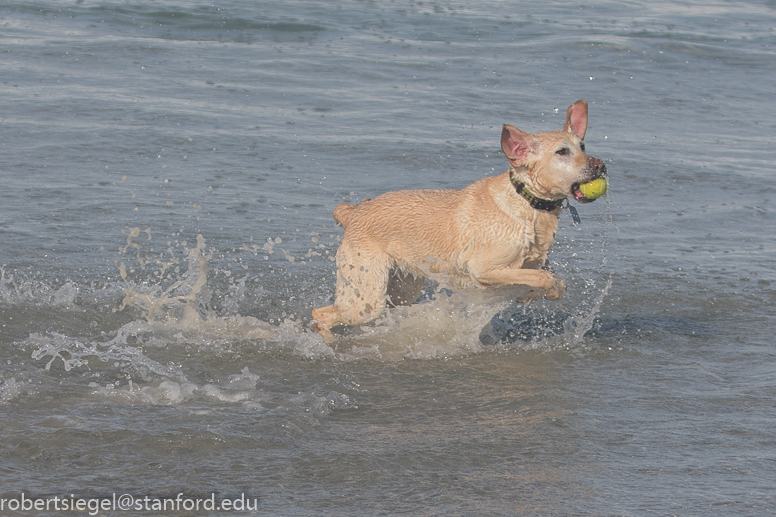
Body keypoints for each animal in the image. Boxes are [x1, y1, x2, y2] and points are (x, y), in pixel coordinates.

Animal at [314, 100, 608, 338]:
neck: (527, 205)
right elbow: (544, 278)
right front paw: (540, 289)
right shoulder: (484, 268)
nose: (600, 165)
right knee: (320, 315)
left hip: (401, 289)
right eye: (562, 152)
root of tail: (353, 212)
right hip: (366, 298)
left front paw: (532, 294)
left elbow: (548, 280)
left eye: (582, 146)